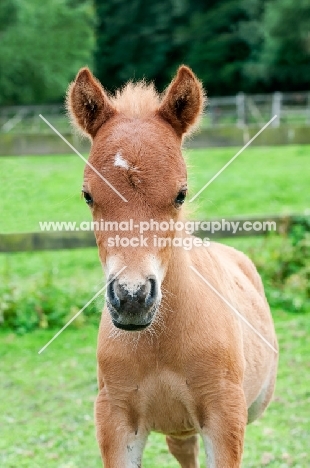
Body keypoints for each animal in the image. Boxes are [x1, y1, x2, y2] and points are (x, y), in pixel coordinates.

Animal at [67, 66, 278, 468]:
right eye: (87, 195)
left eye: (181, 193)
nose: (132, 298)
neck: (160, 344)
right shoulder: (114, 418)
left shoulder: (225, 416)